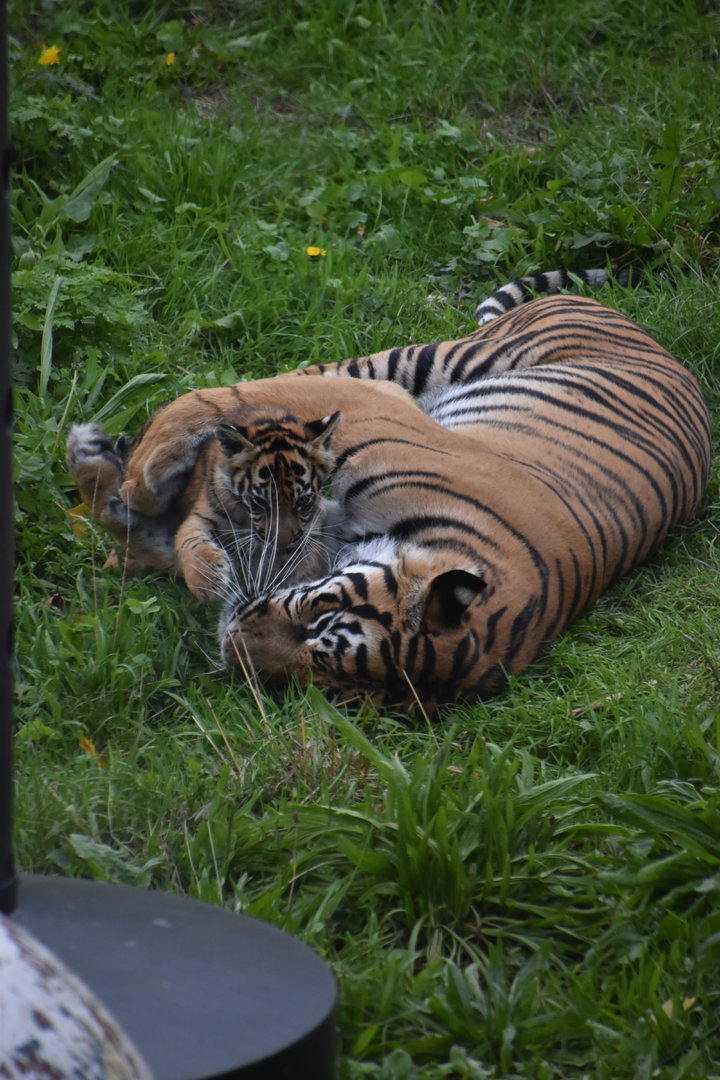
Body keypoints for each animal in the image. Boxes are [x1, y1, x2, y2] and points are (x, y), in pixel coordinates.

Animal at [66, 402, 342, 600]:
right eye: (259, 503)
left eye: (303, 502)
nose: (281, 545)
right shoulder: (201, 515)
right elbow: (192, 542)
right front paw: (208, 581)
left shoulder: (308, 532)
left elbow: (308, 560)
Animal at [110, 281, 711, 710]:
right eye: (319, 625)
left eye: (322, 687)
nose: (231, 645)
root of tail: (625, 317)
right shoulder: (381, 413)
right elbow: (244, 397)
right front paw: (148, 482)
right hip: (440, 359)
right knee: (296, 377)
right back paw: (144, 464)